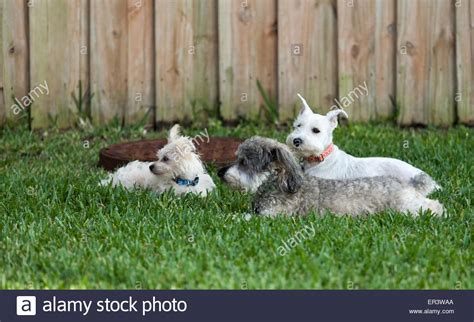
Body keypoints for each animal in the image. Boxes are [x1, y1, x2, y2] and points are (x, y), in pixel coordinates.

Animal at [219, 136, 444, 216]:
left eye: (244, 162)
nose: (220, 172)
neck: (278, 183)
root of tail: (409, 184)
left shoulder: (272, 216)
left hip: (405, 207)